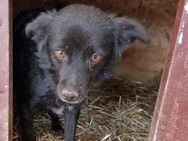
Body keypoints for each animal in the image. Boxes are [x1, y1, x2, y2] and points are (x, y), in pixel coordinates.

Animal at [12, 3, 148, 141]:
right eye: (60, 52)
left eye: (95, 57)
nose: (69, 95)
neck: (50, 78)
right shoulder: (26, 108)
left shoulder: (73, 108)